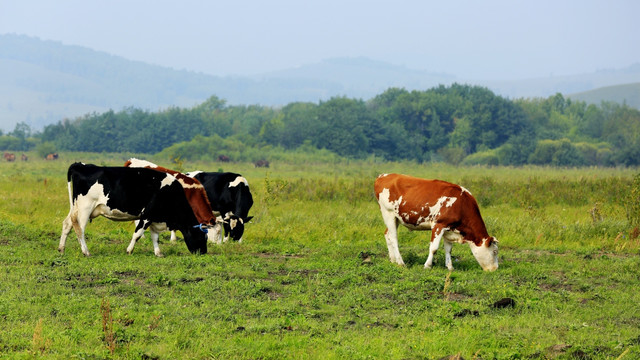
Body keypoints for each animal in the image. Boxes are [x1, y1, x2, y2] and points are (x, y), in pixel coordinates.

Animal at [58, 162, 209, 258]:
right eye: (202, 236)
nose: (203, 252)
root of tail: (81, 165)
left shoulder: (154, 217)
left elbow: (155, 237)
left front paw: (158, 253)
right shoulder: (147, 215)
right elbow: (138, 234)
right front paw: (129, 250)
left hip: (76, 208)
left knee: (67, 224)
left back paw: (61, 249)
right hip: (85, 208)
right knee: (79, 229)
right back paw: (86, 252)